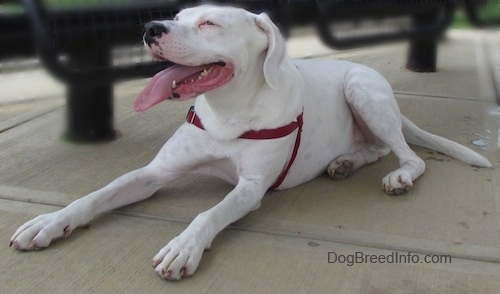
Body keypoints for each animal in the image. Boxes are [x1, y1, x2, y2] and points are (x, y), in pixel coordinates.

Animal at [11, 5, 492, 280]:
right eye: (178, 16)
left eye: (209, 23)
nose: (149, 27)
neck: (228, 112)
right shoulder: (155, 173)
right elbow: (97, 194)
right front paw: (50, 222)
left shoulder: (251, 187)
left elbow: (210, 212)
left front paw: (184, 245)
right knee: (374, 148)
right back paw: (343, 163)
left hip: (362, 91)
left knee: (410, 156)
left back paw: (399, 176)